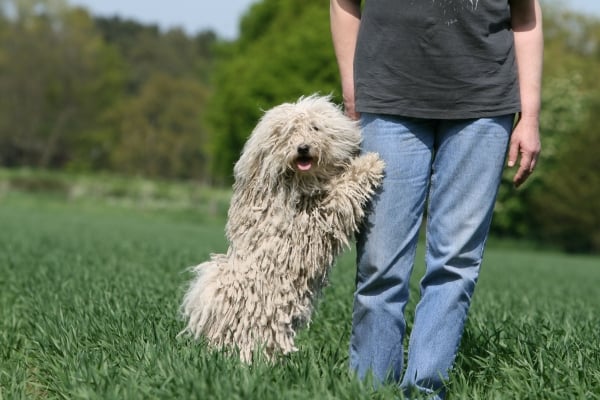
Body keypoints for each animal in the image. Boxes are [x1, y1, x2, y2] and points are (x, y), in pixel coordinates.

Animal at [180, 94, 384, 362]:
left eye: (314, 128)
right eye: (288, 133)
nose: (303, 148)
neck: (298, 183)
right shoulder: (317, 215)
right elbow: (343, 190)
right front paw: (370, 163)